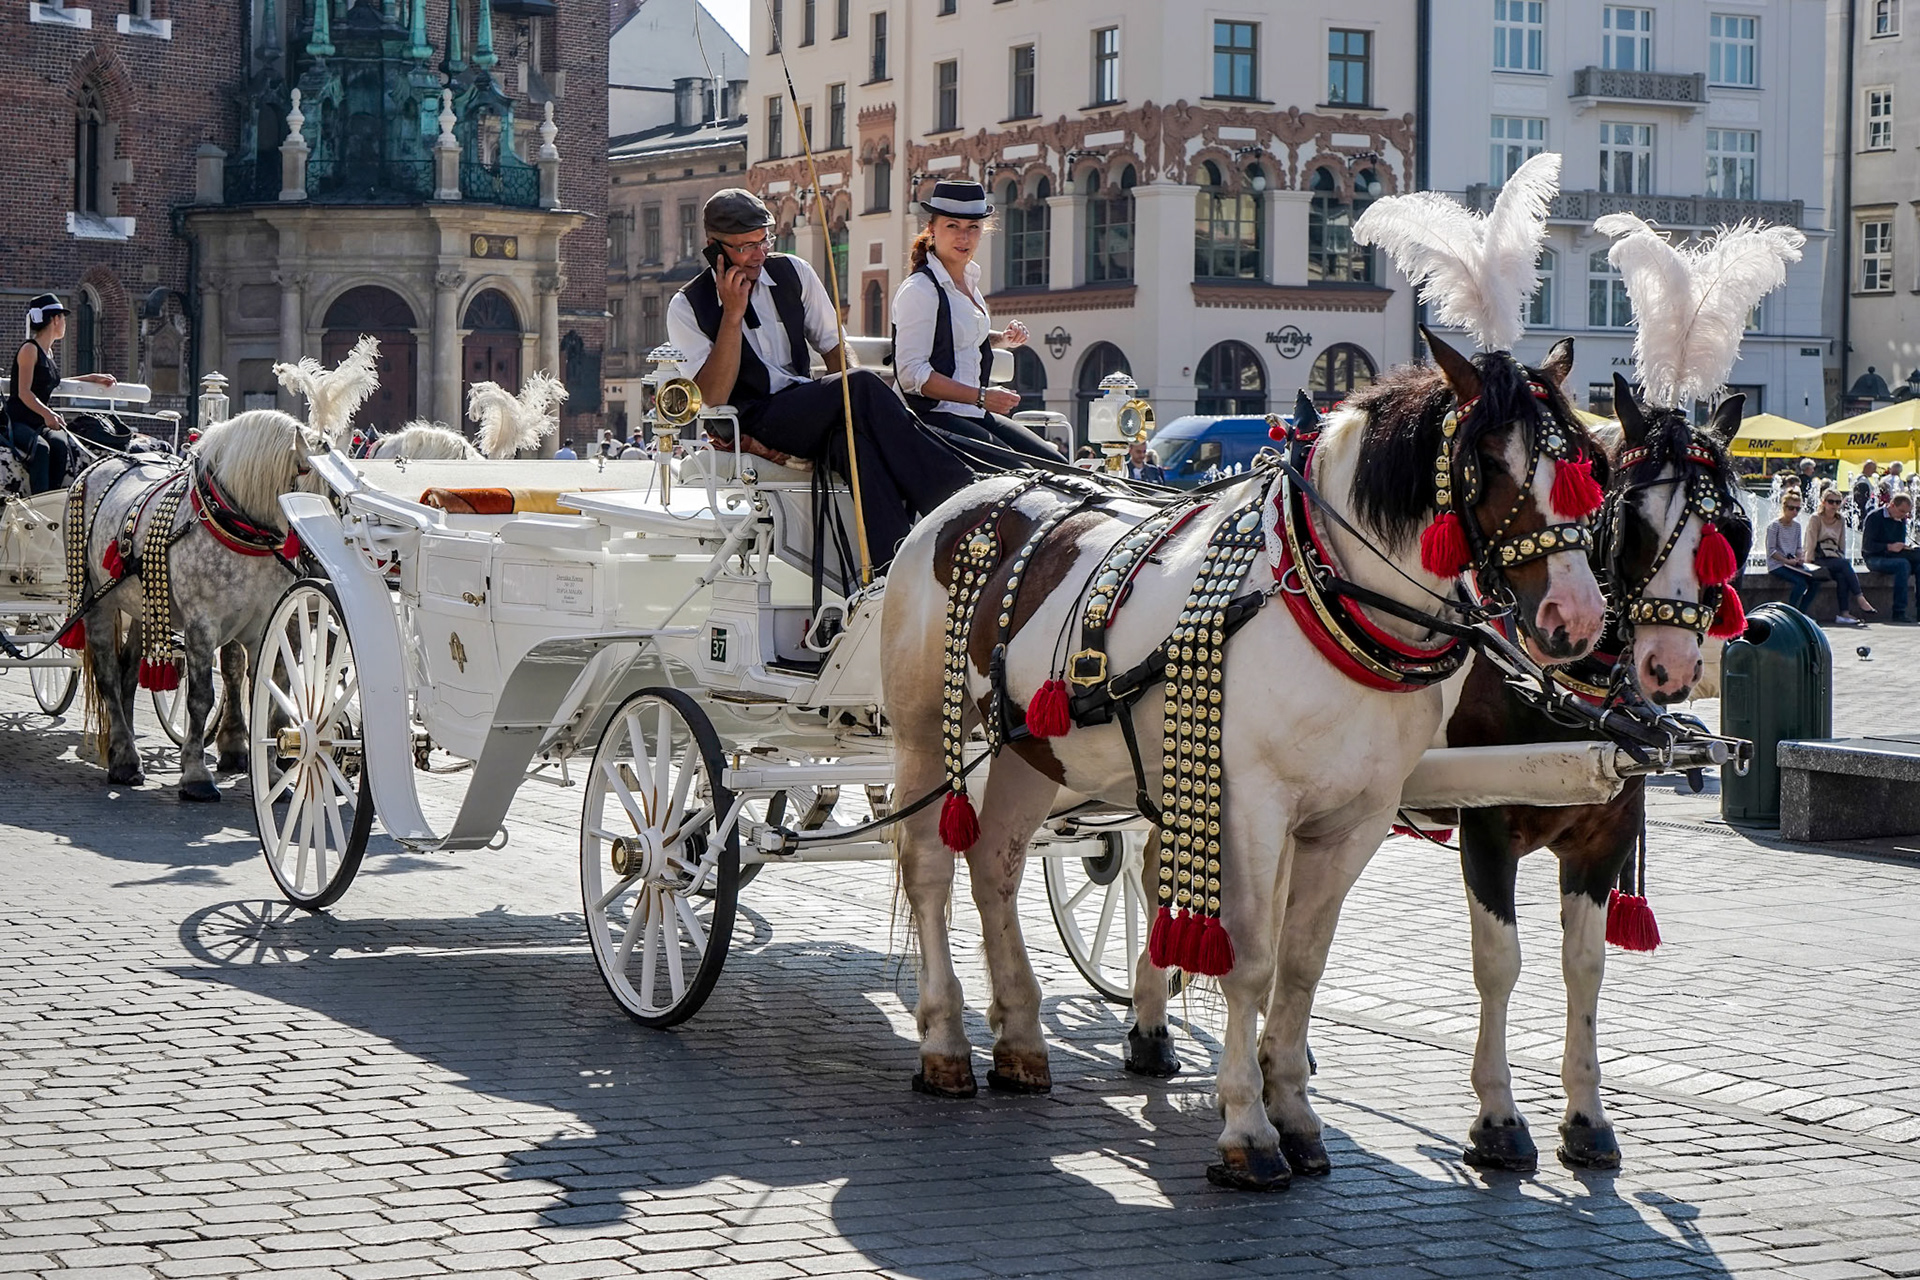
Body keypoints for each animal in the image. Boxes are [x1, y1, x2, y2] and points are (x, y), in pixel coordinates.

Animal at [68, 409, 328, 799]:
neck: (238, 530)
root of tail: (101, 463)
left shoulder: (267, 624)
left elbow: (267, 695)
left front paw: (268, 774)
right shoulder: (201, 624)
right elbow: (202, 696)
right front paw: (195, 774)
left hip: (144, 608)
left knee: (128, 670)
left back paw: (121, 747)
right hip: (97, 601)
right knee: (109, 675)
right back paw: (126, 758)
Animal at [879, 330, 1608, 1189]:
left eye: (1589, 464)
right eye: (1488, 462)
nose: (1575, 618)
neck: (1324, 594)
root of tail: (975, 493)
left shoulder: (1354, 821)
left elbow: (1302, 965)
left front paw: (1293, 1113)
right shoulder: (1249, 805)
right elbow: (1252, 961)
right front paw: (1248, 1131)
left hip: (1031, 749)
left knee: (995, 863)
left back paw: (1021, 1039)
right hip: (924, 732)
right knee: (929, 867)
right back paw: (945, 1043)